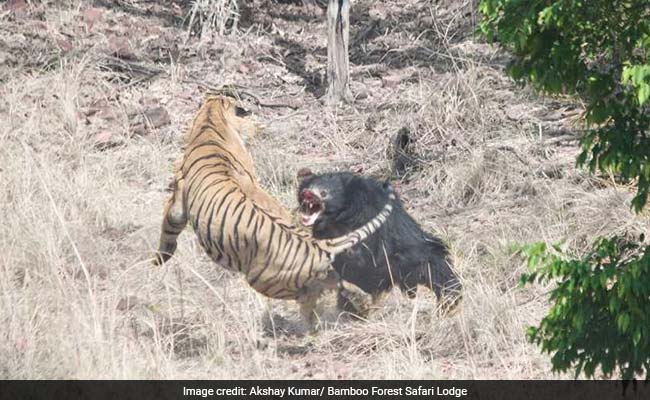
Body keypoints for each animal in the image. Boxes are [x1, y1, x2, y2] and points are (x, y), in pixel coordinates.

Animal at [153, 94, 394, 328]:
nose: (259, 127)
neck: (211, 119)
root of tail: (319, 246)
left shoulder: (178, 201)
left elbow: (168, 227)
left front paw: (160, 259)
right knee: (346, 285)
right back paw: (362, 307)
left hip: (264, 280)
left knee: (311, 296)